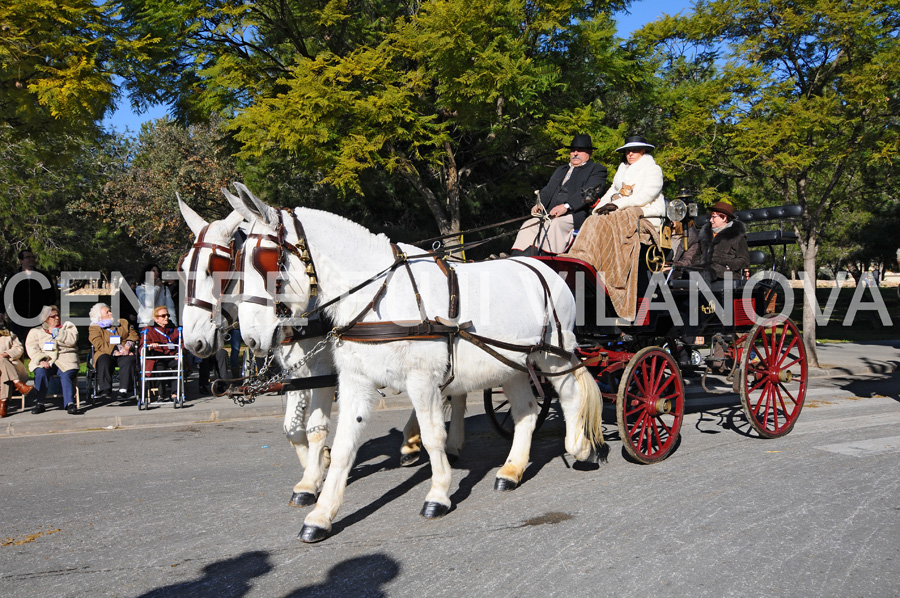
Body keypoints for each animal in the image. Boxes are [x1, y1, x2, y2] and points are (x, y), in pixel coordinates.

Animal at [225, 183, 608, 544]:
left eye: (265, 259)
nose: (251, 338)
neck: (376, 296)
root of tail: (541, 266)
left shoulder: (421, 380)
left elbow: (433, 435)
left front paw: (438, 494)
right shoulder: (354, 381)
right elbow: (345, 442)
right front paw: (320, 513)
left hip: (552, 354)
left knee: (571, 396)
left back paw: (581, 448)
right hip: (510, 363)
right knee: (526, 411)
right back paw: (511, 470)